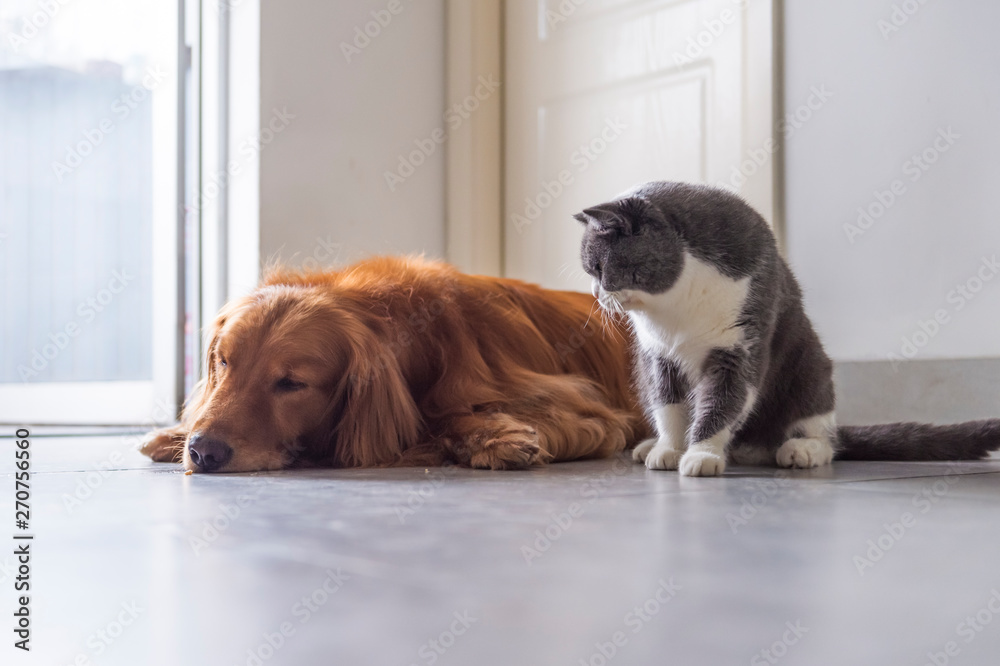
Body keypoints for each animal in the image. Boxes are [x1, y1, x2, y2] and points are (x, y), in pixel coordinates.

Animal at [141, 254, 648, 472]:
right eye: (224, 363)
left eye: (291, 383)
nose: (203, 452)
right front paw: (173, 435)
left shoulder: (582, 410)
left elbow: (450, 416)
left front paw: (495, 437)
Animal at [576, 179, 1000, 474]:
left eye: (597, 268)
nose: (595, 293)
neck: (674, 303)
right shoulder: (657, 356)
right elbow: (669, 405)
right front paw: (668, 448)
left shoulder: (743, 339)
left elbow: (724, 398)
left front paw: (701, 454)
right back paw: (649, 446)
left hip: (809, 365)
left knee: (825, 437)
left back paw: (801, 449)